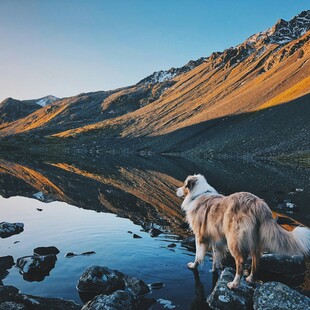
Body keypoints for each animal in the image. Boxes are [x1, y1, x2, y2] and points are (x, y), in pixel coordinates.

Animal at [177, 174, 310, 288]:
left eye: (184, 185)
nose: (177, 190)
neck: (198, 194)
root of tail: (257, 203)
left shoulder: (200, 236)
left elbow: (198, 255)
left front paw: (194, 266)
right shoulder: (216, 238)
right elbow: (216, 256)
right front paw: (214, 269)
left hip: (234, 240)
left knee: (241, 262)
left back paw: (234, 284)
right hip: (255, 241)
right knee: (256, 260)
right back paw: (250, 279)